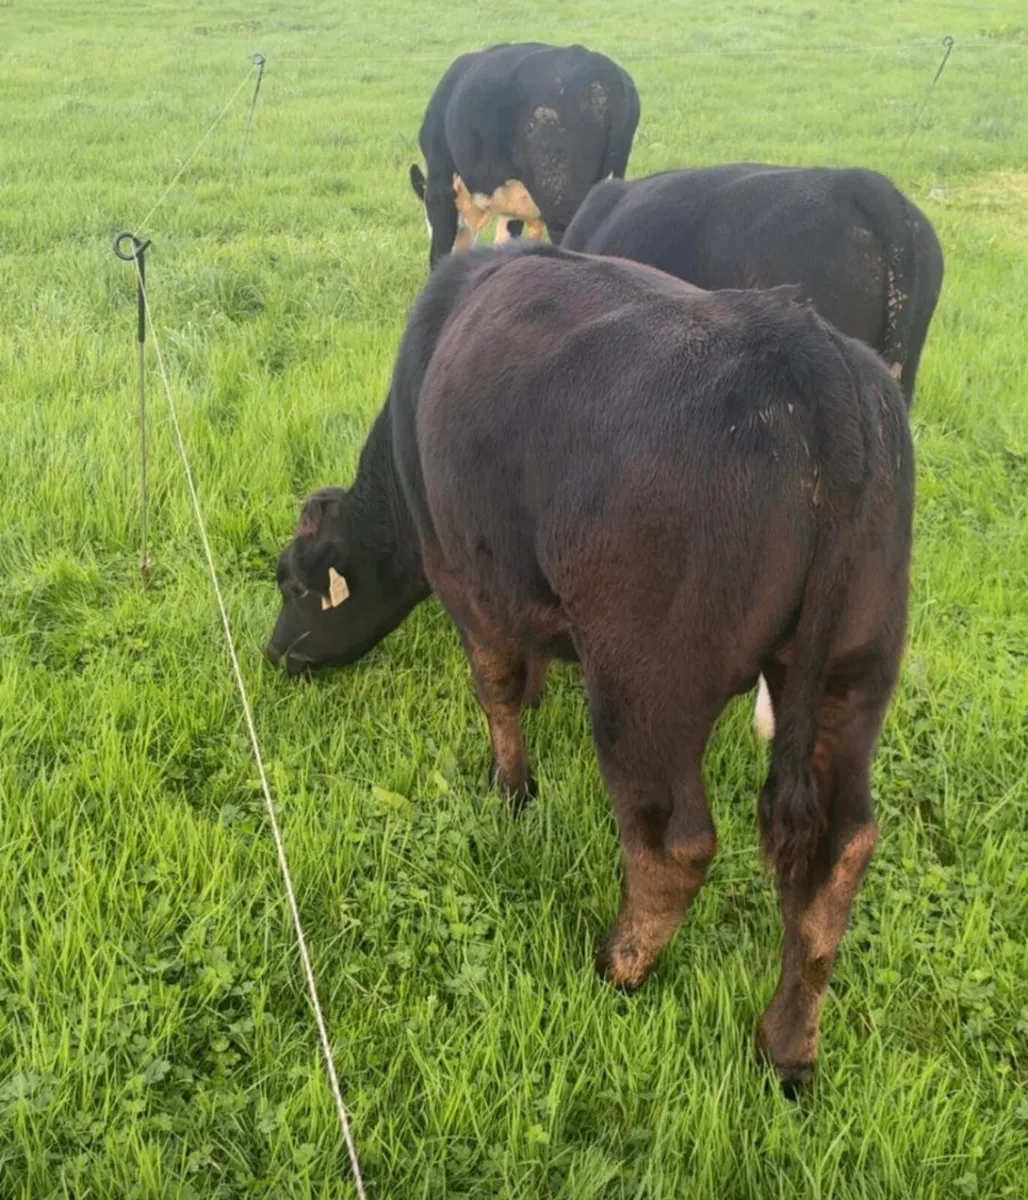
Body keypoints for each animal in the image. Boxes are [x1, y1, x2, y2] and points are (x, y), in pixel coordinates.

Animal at [266, 243, 915, 1089]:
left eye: (288, 582)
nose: (274, 652)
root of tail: (811, 355)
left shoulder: (465, 575)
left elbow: (495, 686)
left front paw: (511, 788)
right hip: (854, 676)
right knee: (839, 854)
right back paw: (786, 1047)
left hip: (645, 689)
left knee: (673, 845)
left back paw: (620, 965)